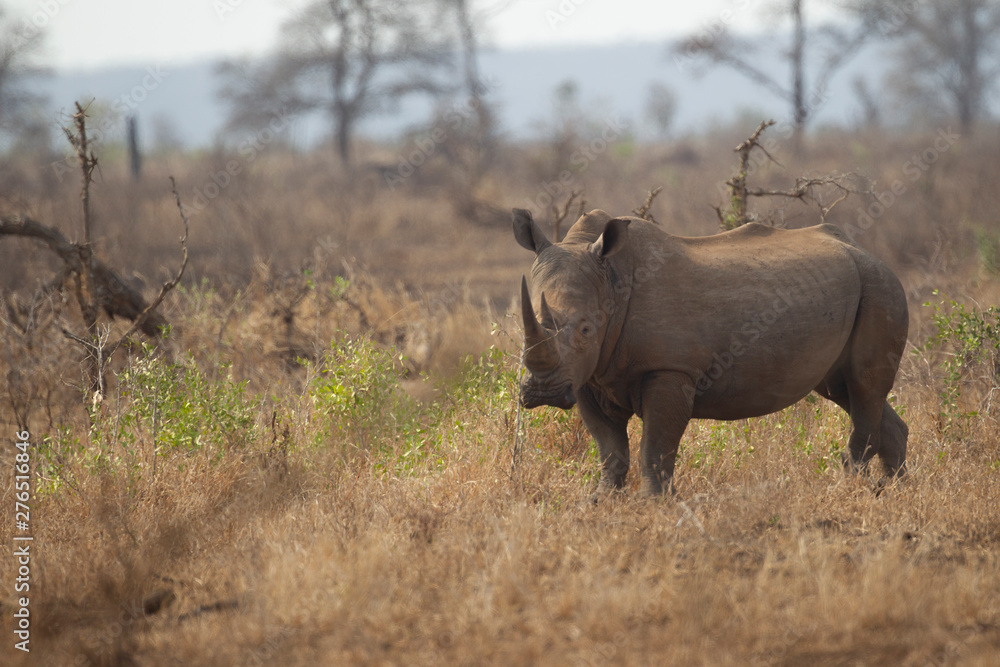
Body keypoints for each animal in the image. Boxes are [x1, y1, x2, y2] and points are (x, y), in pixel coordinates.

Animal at [512, 209, 912, 496]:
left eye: (585, 329)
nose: (543, 392)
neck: (610, 279)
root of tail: (867, 252)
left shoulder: (670, 369)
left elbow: (655, 448)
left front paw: (655, 504)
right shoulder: (589, 376)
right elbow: (610, 450)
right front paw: (600, 502)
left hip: (880, 286)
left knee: (863, 386)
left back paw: (852, 488)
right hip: (860, 287)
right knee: (845, 390)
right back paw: (896, 491)